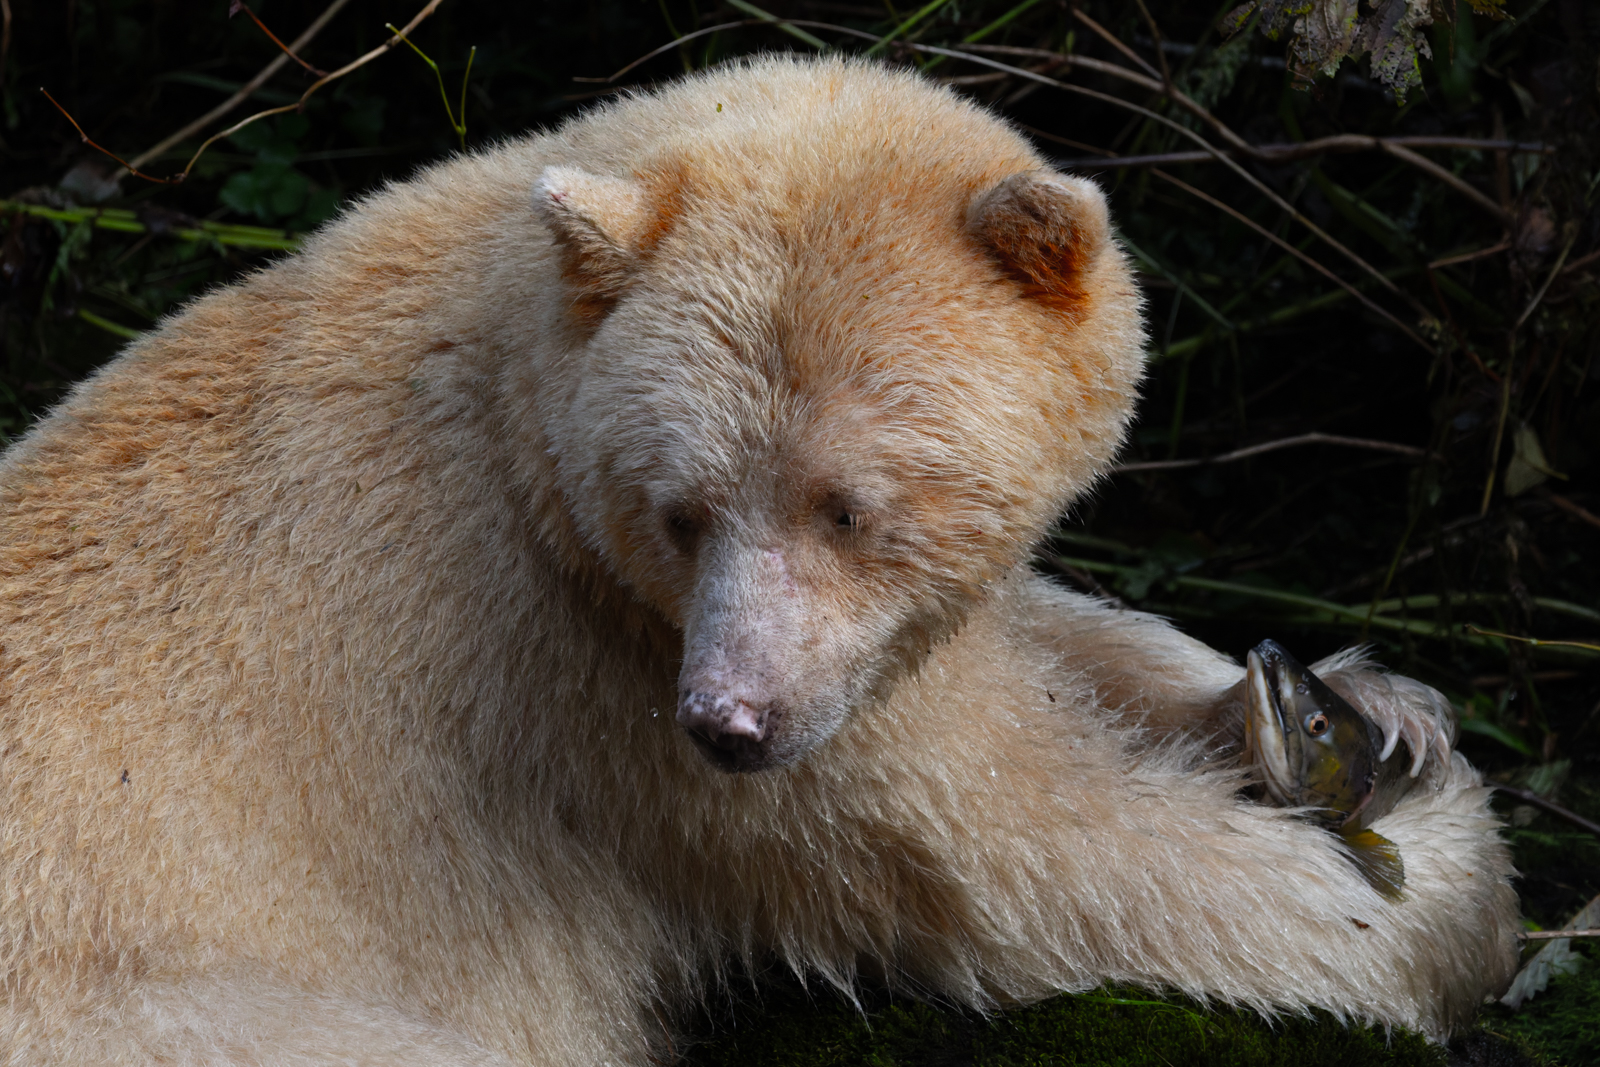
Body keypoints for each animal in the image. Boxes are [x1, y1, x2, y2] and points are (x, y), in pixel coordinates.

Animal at [0, 55, 1516, 1065]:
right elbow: (1042, 849)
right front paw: (1438, 879)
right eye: (679, 507)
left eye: (849, 504)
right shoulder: (596, 683)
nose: (731, 719)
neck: (508, 379)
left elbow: (1029, 637)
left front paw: (1370, 705)